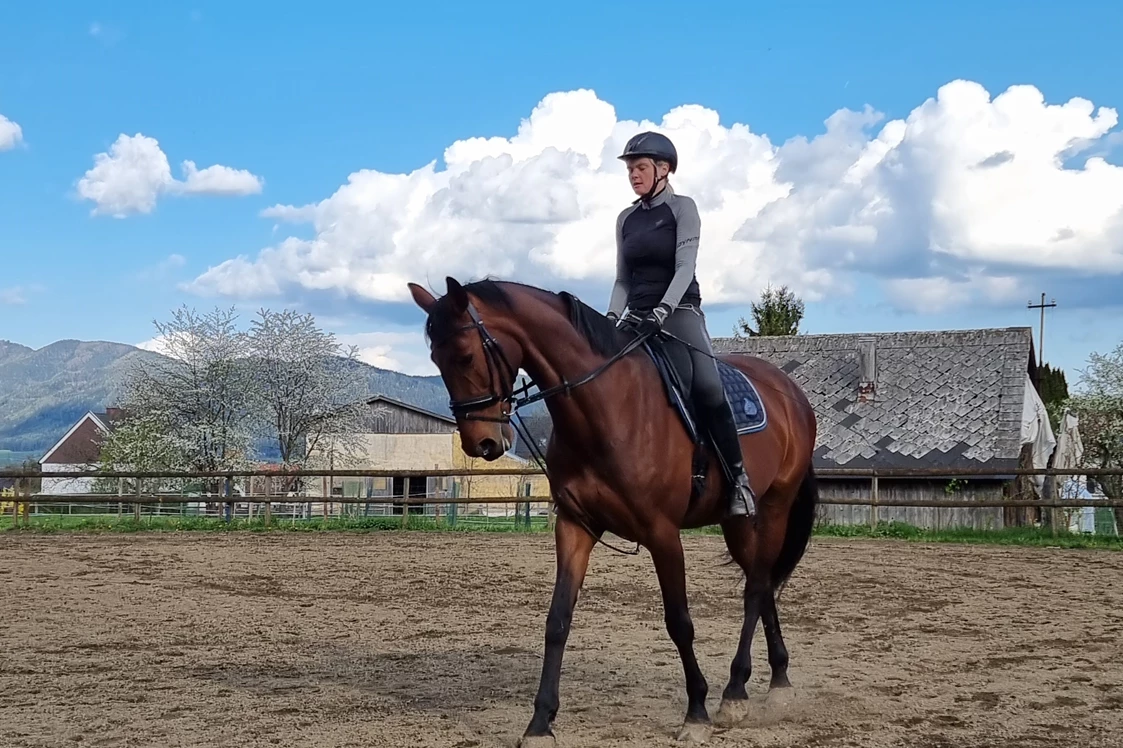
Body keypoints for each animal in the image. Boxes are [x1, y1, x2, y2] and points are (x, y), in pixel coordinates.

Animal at [408, 276, 822, 741]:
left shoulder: (663, 534)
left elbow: (679, 622)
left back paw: (735, 692)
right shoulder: (576, 526)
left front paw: (695, 713)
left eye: (464, 355)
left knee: (754, 590)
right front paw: (540, 723)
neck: (605, 407)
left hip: (774, 508)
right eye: (435, 359)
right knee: (763, 582)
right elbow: (558, 620)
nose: (481, 444)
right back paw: (777, 682)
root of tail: (790, 392)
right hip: (737, 523)